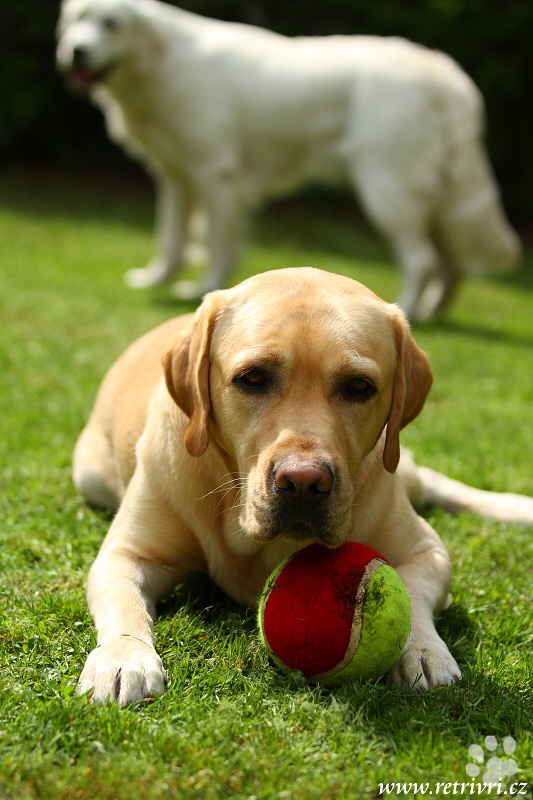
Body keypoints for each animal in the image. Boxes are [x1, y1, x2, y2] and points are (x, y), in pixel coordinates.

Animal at [56, 0, 521, 321]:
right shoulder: (175, 176)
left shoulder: (218, 174)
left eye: (112, 24)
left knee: (422, 260)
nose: (76, 51)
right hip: (432, 199)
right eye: (77, 19)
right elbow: (170, 238)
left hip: (388, 187)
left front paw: (205, 288)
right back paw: (430, 313)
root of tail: (444, 72)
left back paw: (405, 312)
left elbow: (218, 243)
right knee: (451, 265)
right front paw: (156, 279)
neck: (160, 62)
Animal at [73, 268, 533, 705]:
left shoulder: (427, 551)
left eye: (360, 386)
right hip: (89, 475)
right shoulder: (125, 554)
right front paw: (123, 658)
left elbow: (414, 595)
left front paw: (422, 650)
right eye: (252, 378)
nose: (303, 481)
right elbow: (126, 603)